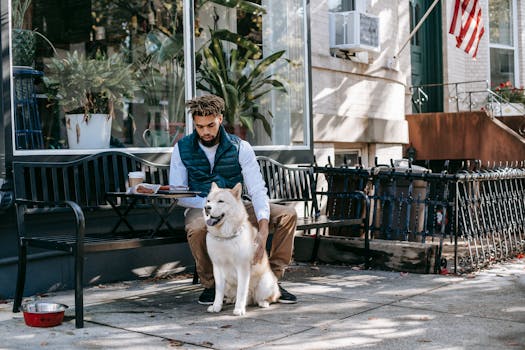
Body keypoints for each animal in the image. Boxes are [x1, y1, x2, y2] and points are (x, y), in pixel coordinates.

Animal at [203, 182, 280, 316]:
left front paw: (239, 309)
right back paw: (230, 300)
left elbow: (242, 291)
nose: (206, 207)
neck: (225, 237)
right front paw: (216, 306)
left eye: (220, 201)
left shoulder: (243, 268)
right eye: (209, 200)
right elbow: (218, 292)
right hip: (228, 286)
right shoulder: (217, 267)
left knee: (268, 297)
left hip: (265, 284)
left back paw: (263, 303)